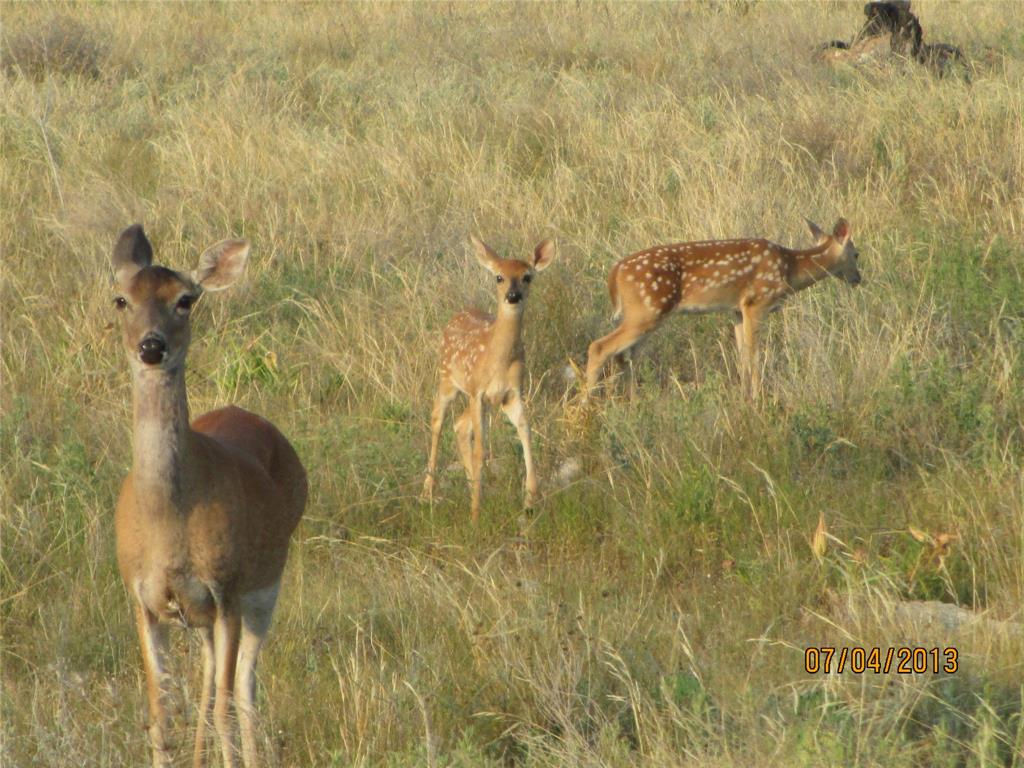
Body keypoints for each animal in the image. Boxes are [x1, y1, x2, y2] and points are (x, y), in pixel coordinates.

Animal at [110, 225, 307, 765]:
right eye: (121, 299)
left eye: (185, 300)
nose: (151, 346)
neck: (170, 520)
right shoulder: (142, 597)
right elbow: (159, 717)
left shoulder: (227, 589)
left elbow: (226, 708)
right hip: (200, 617)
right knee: (210, 675)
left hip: (264, 587)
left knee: (242, 689)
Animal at [419, 236, 557, 524]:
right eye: (499, 277)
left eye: (527, 277)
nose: (513, 296)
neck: (498, 360)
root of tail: (457, 315)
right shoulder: (478, 392)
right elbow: (481, 449)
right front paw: (475, 514)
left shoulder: (512, 394)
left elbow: (526, 432)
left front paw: (530, 500)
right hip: (447, 379)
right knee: (437, 419)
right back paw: (427, 493)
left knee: (460, 426)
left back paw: (471, 483)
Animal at [589, 217, 860, 397]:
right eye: (857, 254)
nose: (858, 279)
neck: (791, 268)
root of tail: (615, 272)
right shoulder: (756, 303)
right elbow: (754, 355)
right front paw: (758, 401)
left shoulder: (737, 310)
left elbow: (742, 356)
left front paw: (744, 399)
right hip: (646, 311)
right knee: (599, 347)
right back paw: (585, 410)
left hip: (644, 314)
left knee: (625, 357)